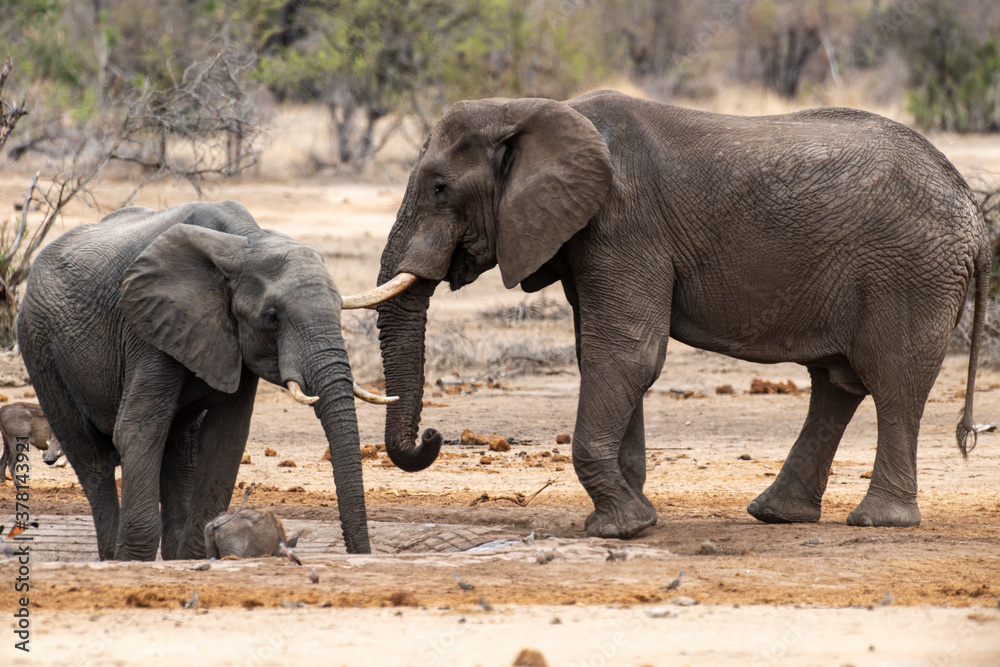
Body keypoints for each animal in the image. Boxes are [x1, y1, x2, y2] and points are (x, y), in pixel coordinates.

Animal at [17, 201, 398, 560]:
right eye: (271, 317)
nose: (361, 554)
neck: (246, 242)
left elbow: (225, 439)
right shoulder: (149, 327)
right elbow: (138, 430)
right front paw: (135, 562)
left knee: (180, 456)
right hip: (40, 349)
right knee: (92, 461)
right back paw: (113, 559)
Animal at [371, 90, 990, 539]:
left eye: (440, 187)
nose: (433, 435)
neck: (531, 110)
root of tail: (975, 217)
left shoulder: (624, 225)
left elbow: (626, 354)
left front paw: (620, 529)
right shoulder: (589, 236)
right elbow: (602, 355)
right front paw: (635, 514)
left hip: (911, 272)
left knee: (893, 381)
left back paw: (877, 522)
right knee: (836, 384)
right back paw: (777, 514)